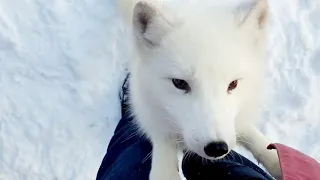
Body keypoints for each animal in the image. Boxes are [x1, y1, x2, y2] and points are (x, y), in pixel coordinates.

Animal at [116, 0, 282, 179]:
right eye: (179, 83)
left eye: (233, 84)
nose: (217, 147)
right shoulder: (151, 115)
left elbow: (251, 135)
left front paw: (276, 159)